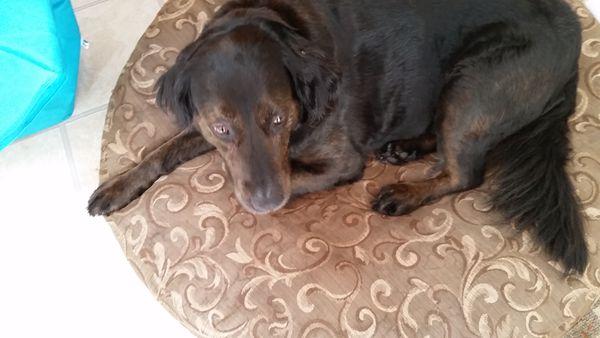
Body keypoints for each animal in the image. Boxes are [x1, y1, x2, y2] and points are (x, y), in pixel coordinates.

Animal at [86, 0, 588, 274]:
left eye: (278, 119)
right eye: (223, 127)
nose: (265, 201)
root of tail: (576, 38)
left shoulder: (339, 162)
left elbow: (282, 179)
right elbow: (163, 150)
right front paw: (119, 185)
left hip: (473, 83)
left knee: (467, 172)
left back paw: (405, 193)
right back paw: (405, 149)